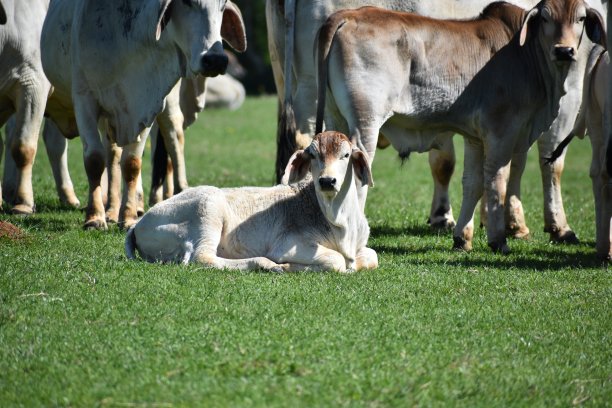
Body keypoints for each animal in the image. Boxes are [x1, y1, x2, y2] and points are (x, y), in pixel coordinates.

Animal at [40, 0, 246, 230]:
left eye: (223, 5)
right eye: (187, 2)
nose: (216, 60)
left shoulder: (146, 106)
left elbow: (132, 163)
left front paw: (129, 217)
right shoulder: (85, 99)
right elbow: (95, 160)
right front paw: (95, 217)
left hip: (167, 104)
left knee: (174, 139)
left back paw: (175, 193)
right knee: (111, 154)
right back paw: (111, 210)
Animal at [125, 131, 378, 270]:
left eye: (346, 155)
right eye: (314, 156)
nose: (327, 181)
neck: (340, 222)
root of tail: (138, 224)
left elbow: (372, 257)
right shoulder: (288, 244)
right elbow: (337, 261)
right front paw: (290, 267)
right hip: (208, 208)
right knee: (202, 257)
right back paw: (266, 265)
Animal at [268, 0, 608, 242]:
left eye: (580, 18)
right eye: (546, 17)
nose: (564, 50)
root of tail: (348, 16)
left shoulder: (478, 134)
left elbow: (474, 181)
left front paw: (466, 235)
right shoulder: (505, 128)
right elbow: (515, 172)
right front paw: (511, 233)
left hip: (332, 114)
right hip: (364, 123)